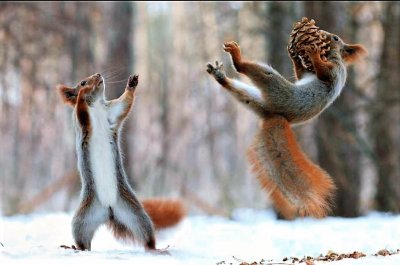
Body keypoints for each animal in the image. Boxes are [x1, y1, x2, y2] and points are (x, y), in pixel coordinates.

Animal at [57, 72, 186, 252]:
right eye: (82, 82)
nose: (98, 75)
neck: (96, 105)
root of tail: (109, 211)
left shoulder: (112, 113)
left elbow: (125, 103)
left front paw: (132, 84)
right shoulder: (81, 122)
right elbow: (81, 111)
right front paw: (82, 94)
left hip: (135, 214)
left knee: (146, 236)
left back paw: (156, 249)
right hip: (82, 220)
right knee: (83, 242)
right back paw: (75, 248)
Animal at [208, 17, 368, 219]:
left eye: (336, 38)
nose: (325, 34)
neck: (333, 57)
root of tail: (276, 115)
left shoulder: (334, 72)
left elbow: (323, 71)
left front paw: (313, 54)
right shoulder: (310, 73)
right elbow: (301, 74)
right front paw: (295, 56)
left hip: (276, 87)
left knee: (247, 69)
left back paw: (237, 58)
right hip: (255, 99)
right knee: (240, 91)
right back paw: (220, 76)